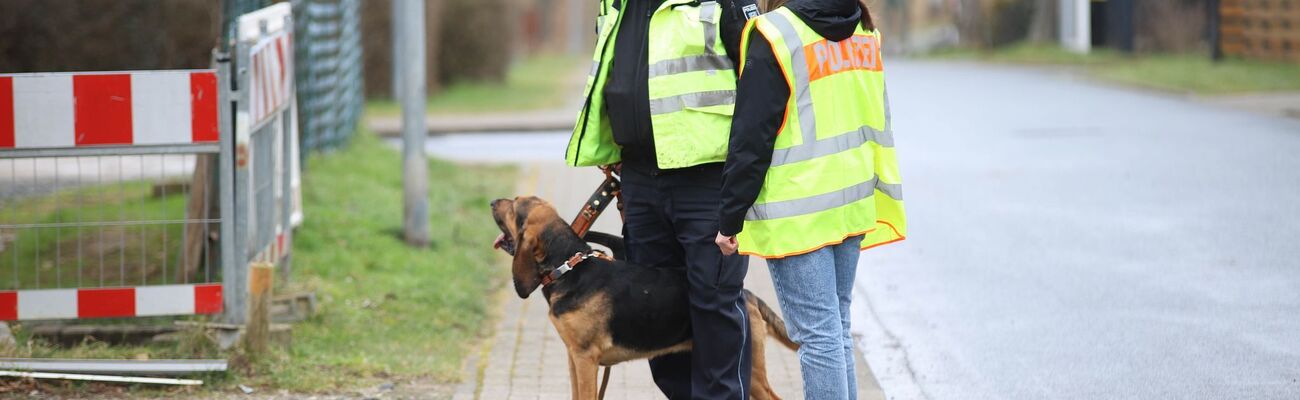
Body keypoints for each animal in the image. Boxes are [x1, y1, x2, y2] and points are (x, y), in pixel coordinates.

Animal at [491, 197, 795, 400]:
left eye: (515, 207)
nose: (493, 202)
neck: (569, 267)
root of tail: (749, 296)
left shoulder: (586, 358)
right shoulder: (573, 356)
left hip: (748, 367)